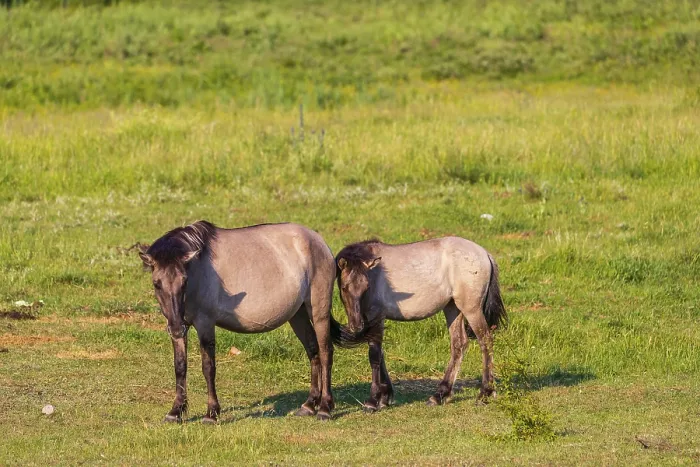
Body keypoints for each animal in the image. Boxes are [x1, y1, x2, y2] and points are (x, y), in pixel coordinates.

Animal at [138, 221, 340, 423]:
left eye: (184, 282)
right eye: (157, 283)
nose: (176, 329)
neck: (198, 270)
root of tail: (318, 241)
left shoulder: (205, 324)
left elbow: (208, 367)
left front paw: (211, 413)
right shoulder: (180, 324)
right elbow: (180, 366)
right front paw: (175, 412)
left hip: (319, 312)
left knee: (325, 353)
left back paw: (324, 408)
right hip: (298, 315)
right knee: (313, 350)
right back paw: (309, 405)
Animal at [334, 237, 507, 411]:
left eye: (366, 287)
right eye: (344, 287)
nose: (356, 326)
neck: (374, 275)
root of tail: (484, 253)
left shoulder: (376, 317)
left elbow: (374, 355)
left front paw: (373, 401)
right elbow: (379, 353)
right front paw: (385, 397)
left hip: (471, 310)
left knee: (485, 341)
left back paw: (485, 392)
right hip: (453, 308)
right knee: (459, 344)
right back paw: (440, 395)